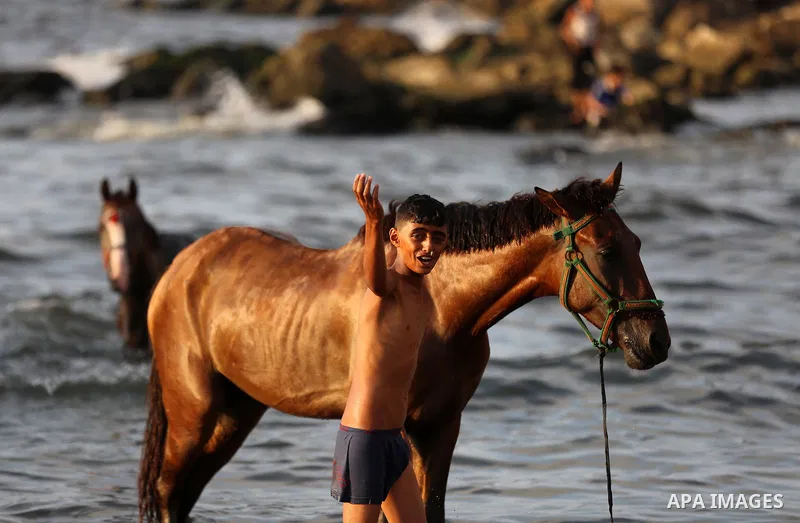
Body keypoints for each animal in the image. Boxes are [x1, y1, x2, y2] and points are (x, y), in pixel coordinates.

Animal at [137, 163, 671, 523]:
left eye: (639, 242)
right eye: (607, 250)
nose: (656, 341)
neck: (441, 306)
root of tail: (179, 268)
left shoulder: (439, 425)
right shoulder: (405, 430)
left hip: (235, 413)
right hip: (193, 411)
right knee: (167, 490)